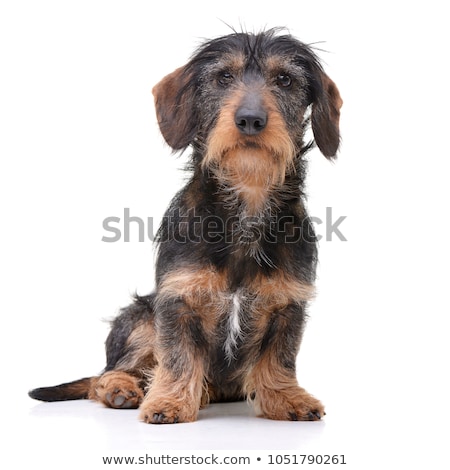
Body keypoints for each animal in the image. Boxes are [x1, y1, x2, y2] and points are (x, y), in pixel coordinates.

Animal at [29, 27, 342, 424]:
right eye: (223, 77)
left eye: (285, 79)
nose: (251, 119)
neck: (246, 201)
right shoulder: (175, 302)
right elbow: (177, 357)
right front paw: (170, 402)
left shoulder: (287, 304)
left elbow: (279, 358)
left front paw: (286, 398)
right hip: (140, 318)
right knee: (108, 374)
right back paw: (123, 389)